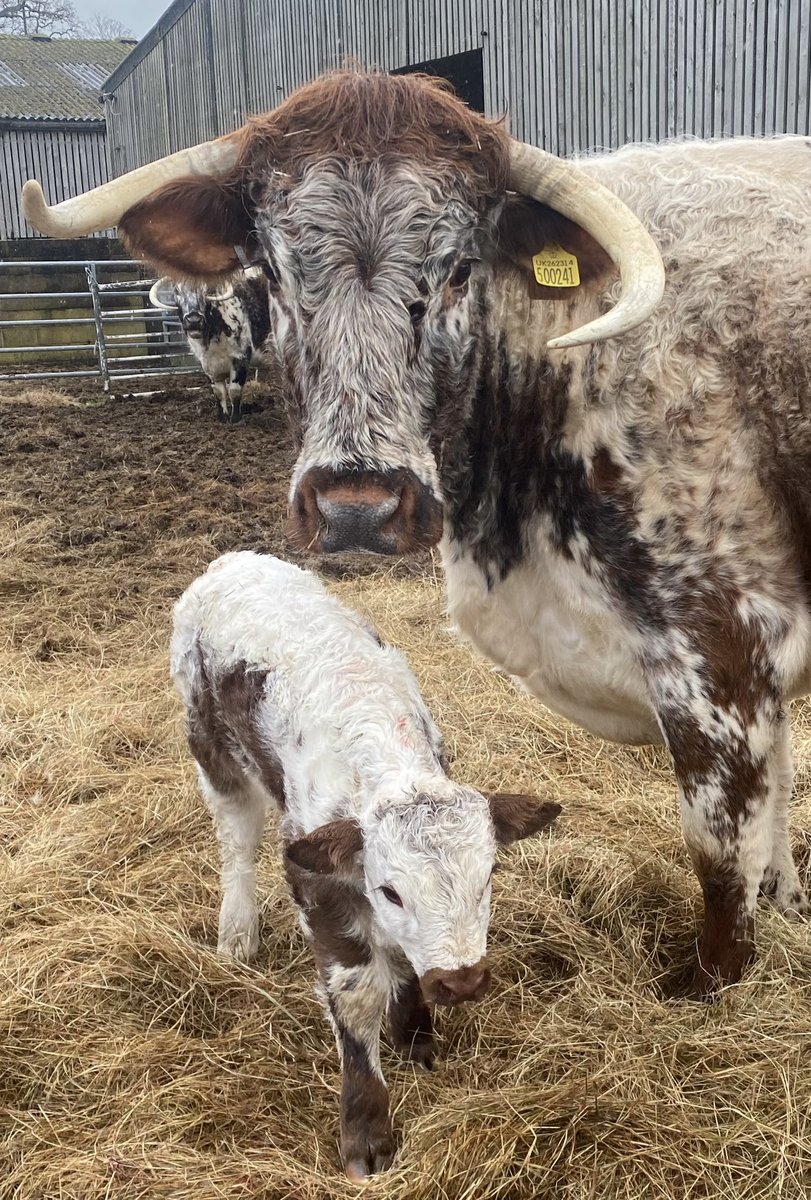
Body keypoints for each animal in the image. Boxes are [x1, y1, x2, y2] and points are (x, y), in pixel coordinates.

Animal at [149, 267, 271, 422]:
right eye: (176, 290)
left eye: (206, 290)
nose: (194, 320)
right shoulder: (208, 365)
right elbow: (219, 392)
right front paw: (223, 417)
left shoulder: (241, 357)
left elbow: (234, 390)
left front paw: (235, 419)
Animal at [170, 550, 560, 1178]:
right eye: (391, 890)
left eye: (489, 877)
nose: (461, 981)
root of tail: (231, 561)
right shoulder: (317, 881)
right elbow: (356, 993)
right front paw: (367, 1131)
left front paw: (415, 1034)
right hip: (210, 745)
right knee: (236, 836)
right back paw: (237, 932)